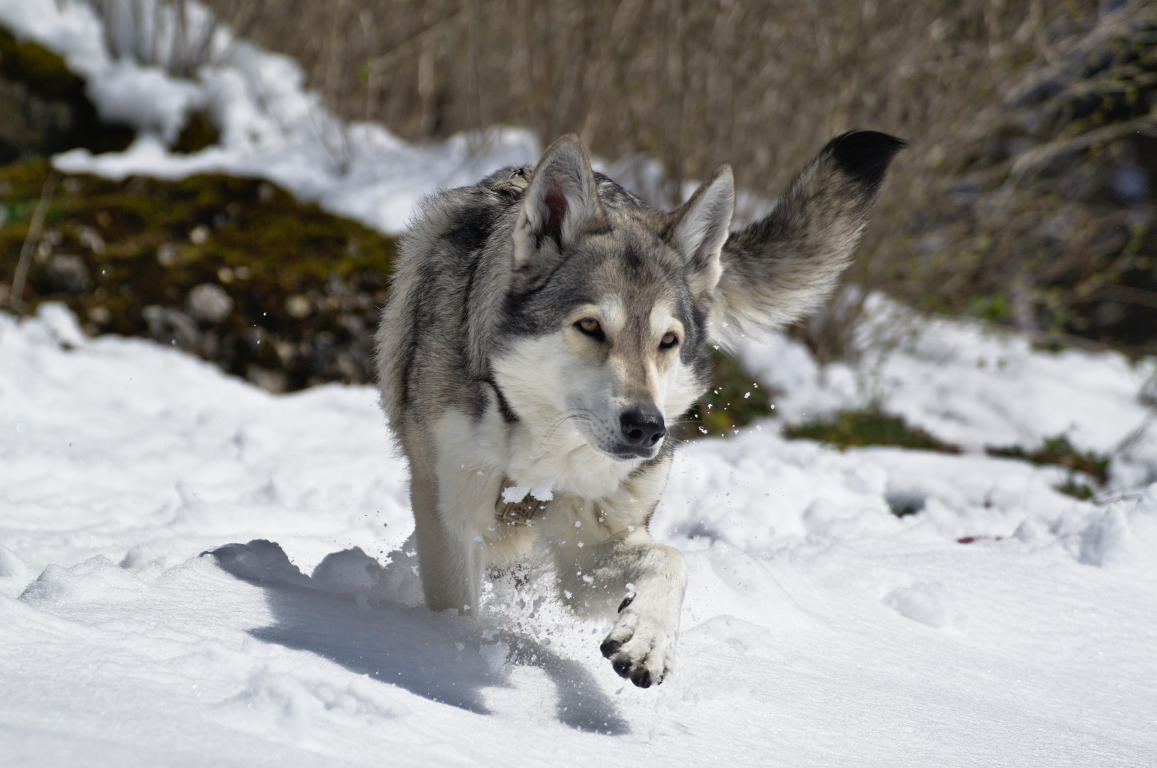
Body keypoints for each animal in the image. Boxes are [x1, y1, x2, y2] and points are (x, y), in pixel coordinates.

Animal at [375, 131, 902, 687]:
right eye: (590, 327)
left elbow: (671, 560)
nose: (648, 428)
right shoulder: (451, 520)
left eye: (667, 341)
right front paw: (453, 656)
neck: (546, 457)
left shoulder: (586, 554)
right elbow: (458, 612)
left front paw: (648, 639)